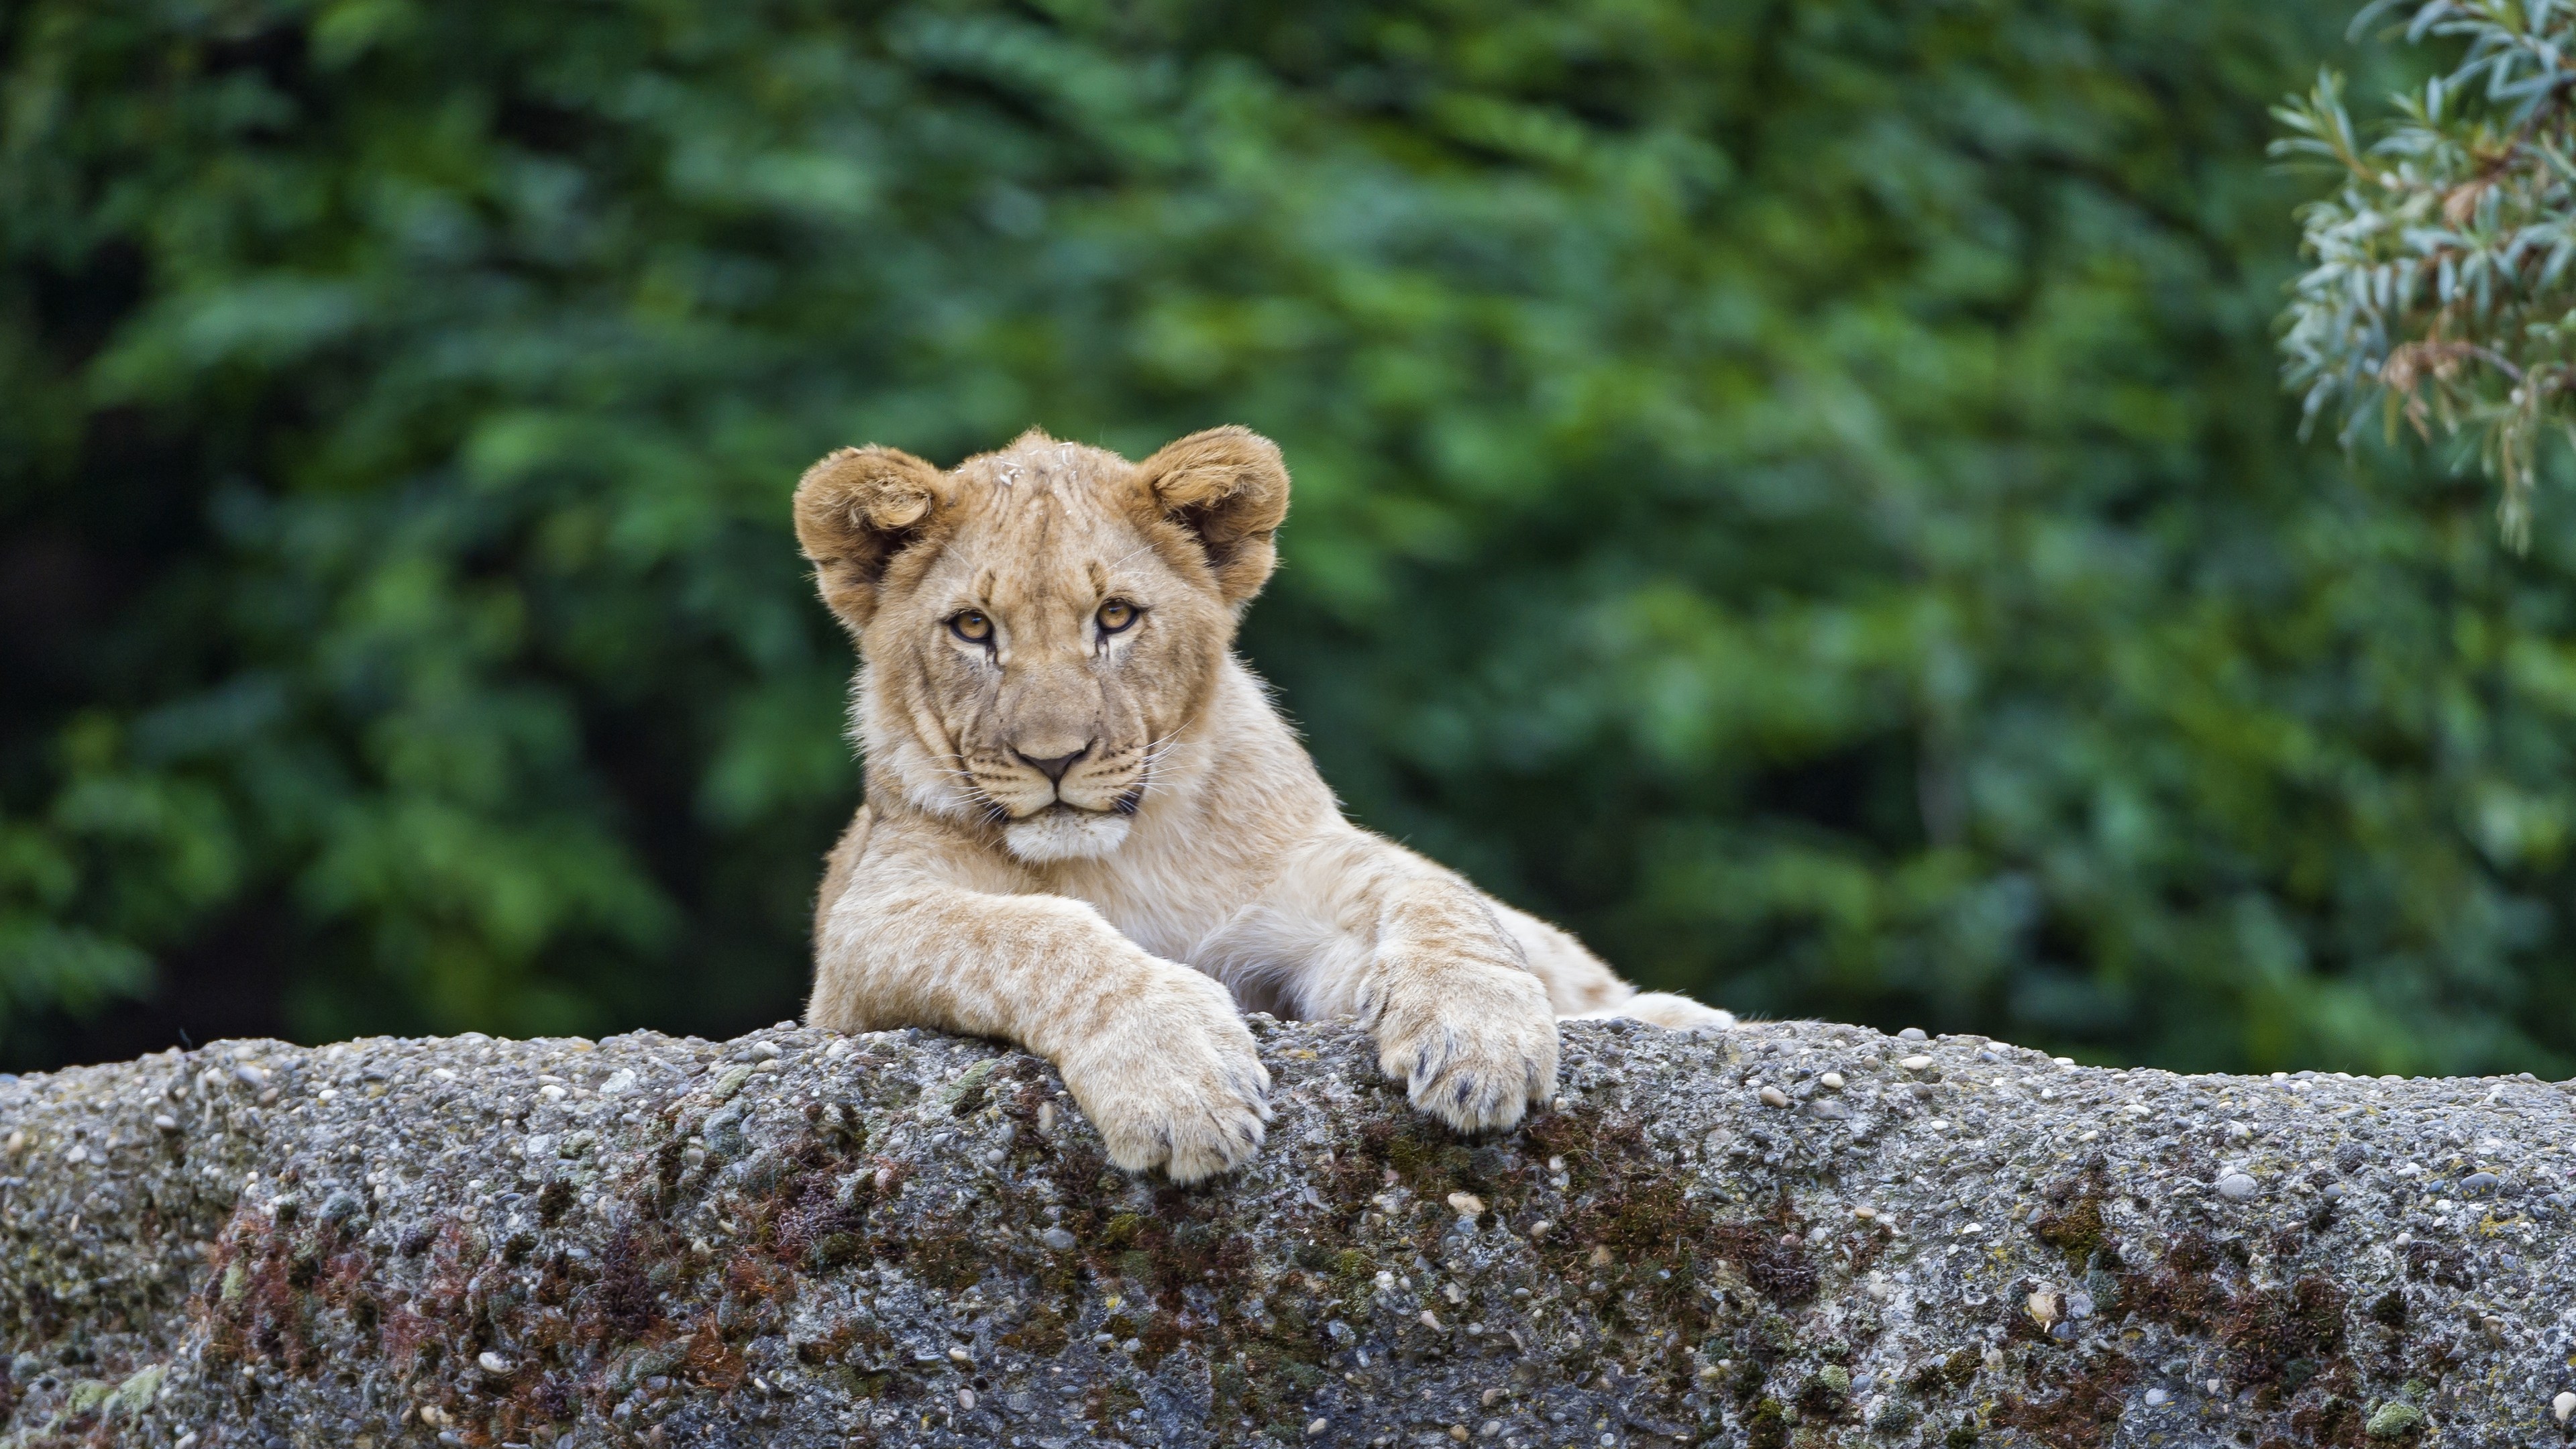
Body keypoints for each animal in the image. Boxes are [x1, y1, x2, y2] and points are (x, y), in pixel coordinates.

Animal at [795, 426, 1733, 1182]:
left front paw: (1479, 1034)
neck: (1121, 854)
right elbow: (1031, 933)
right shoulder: (856, 946)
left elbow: (1434, 897)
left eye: (1116, 616)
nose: (1054, 759)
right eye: (973, 628)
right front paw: (1179, 1084)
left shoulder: (1306, 878)